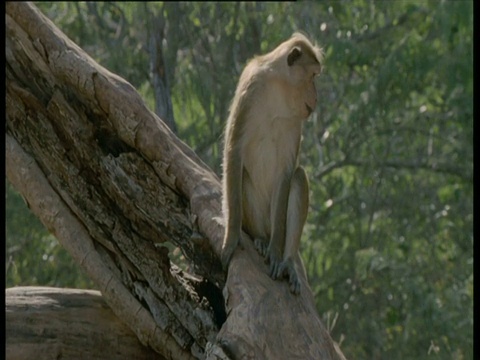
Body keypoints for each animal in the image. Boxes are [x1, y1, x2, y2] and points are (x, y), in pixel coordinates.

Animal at [221, 32, 322, 294]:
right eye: (313, 76)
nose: (316, 97)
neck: (278, 90)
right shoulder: (250, 90)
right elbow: (234, 151)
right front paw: (231, 236)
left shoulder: (296, 119)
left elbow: (286, 172)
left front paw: (277, 255)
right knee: (241, 176)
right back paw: (260, 239)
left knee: (298, 177)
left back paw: (286, 260)